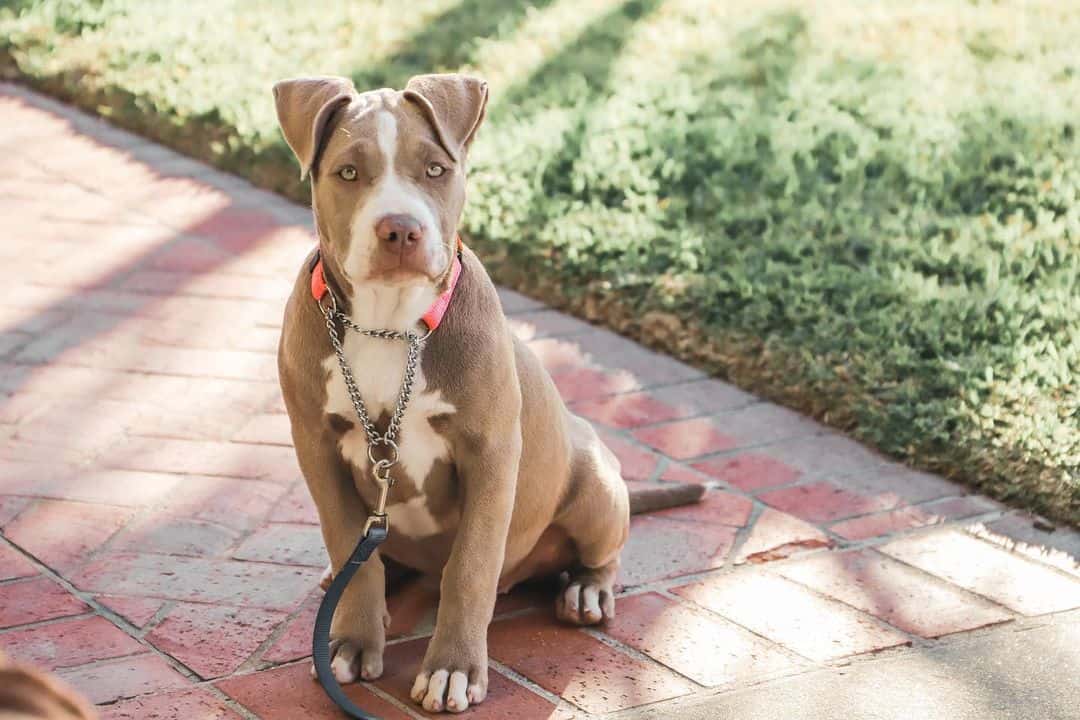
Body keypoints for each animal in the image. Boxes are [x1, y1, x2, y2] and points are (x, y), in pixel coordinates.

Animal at [274, 74, 704, 716]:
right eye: (348, 172)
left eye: (434, 169)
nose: (400, 229)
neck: (388, 325)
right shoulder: (316, 448)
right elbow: (349, 537)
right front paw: (350, 640)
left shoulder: (492, 454)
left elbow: (471, 566)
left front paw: (452, 669)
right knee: (368, 555)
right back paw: (345, 575)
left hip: (595, 483)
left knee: (601, 551)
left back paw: (586, 591)